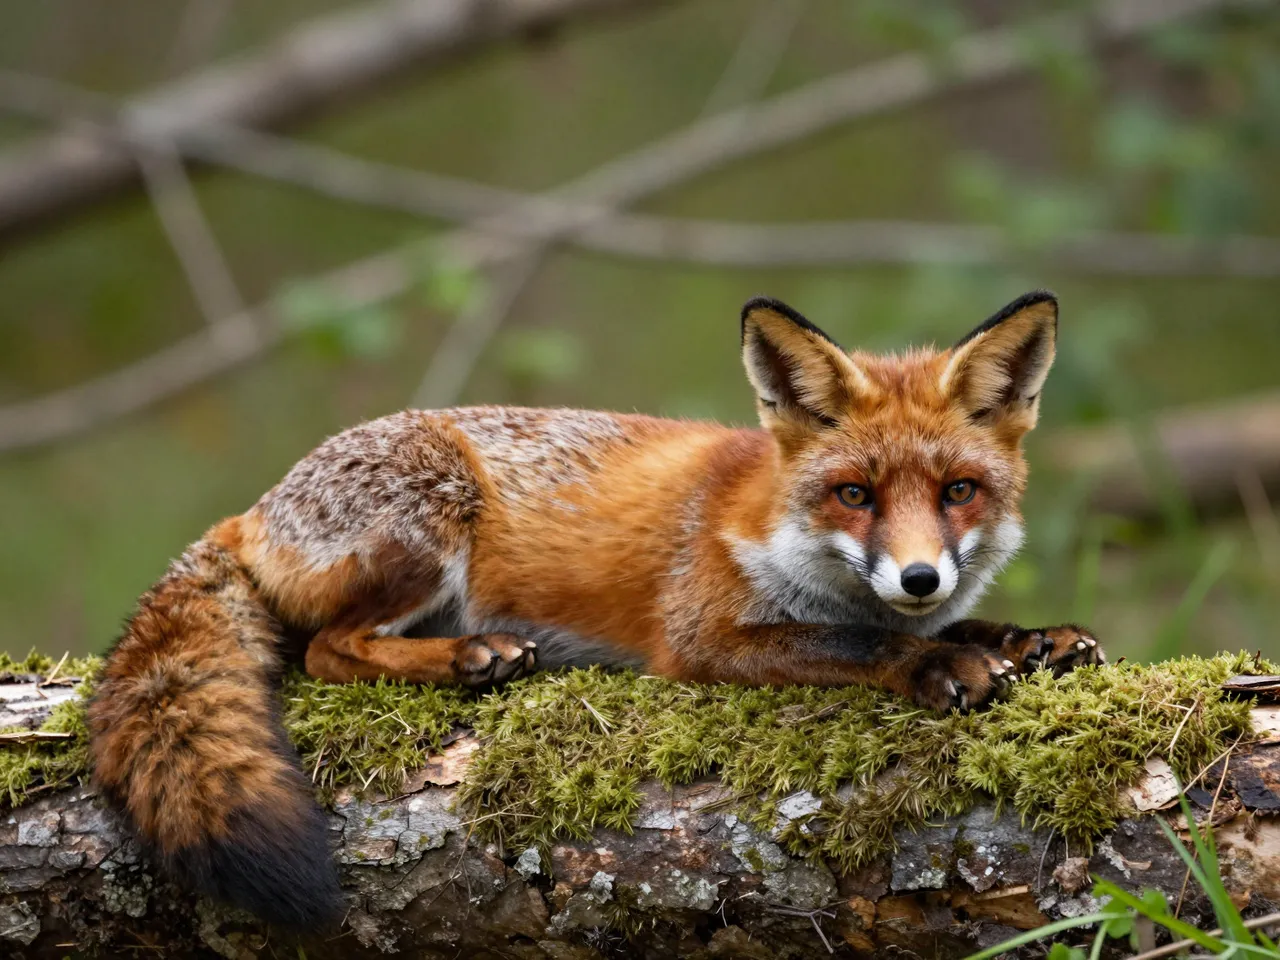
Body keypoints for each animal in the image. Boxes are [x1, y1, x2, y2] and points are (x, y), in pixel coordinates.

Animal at [89, 290, 1102, 926]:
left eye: (959, 492)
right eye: (855, 495)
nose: (921, 579)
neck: (775, 525)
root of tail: (254, 509)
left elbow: (953, 627)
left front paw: (1032, 639)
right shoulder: (704, 637)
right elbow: (854, 644)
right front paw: (938, 663)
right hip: (427, 526)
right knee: (325, 652)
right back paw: (472, 658)